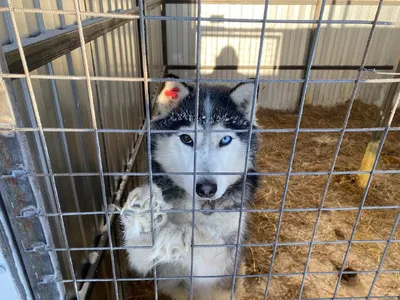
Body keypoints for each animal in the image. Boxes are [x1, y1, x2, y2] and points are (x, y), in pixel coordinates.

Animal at [121, 74, 260, 298]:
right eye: (187, 138)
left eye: (225, 139)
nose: (206, 189)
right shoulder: (143, 261)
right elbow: (139, 251)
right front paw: (144, 210)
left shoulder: (223, 260)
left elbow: (204, 239)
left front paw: (175, 234)